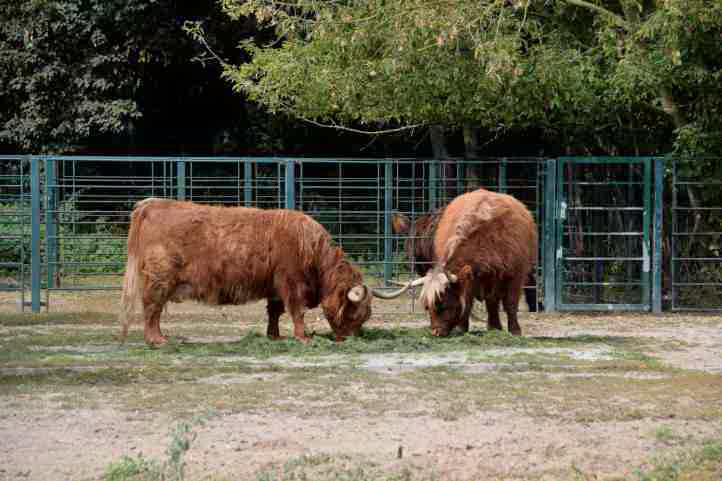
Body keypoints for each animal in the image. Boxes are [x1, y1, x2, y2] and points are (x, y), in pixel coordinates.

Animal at [116, 198, 382, 344]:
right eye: (355, 313)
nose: (349, 338)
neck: (313, 252)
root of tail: (152, 205)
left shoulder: (275, 286)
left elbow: (275, 312)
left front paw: (274, 336)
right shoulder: (292, 282)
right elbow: (296, 311)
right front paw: (303, 338)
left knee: (154, 310)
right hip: (159, 279)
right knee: (152, 308)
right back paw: (157, 340)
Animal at [388, 188, 536, 334]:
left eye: (443, 305)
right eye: (428, 307)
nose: (435, 332)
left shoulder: (516, 274)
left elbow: (510, 302)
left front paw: (515, 330)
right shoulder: (471, 277)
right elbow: (468, 300)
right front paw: (461, 327)